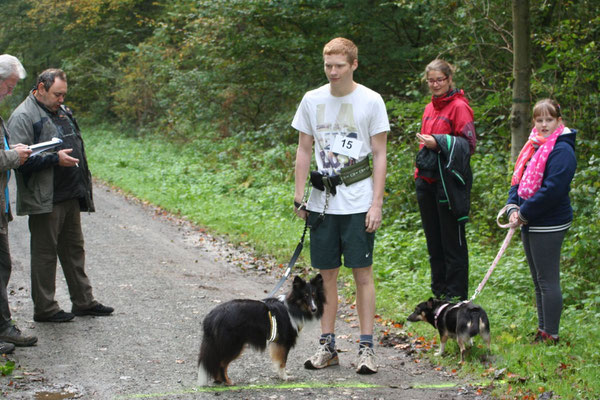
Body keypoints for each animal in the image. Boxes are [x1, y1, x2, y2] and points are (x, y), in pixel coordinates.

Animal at [198, 276, 326, 384]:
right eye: (305, 296)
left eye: (314, 295)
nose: (314, 309)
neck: (293, 307)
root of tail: (212, 317)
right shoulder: (284, 342)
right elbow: (282, 362)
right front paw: (285, 377)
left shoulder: (277, 343)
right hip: (233, 345)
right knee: (222, 364)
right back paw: (228, 382)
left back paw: (220, 380)